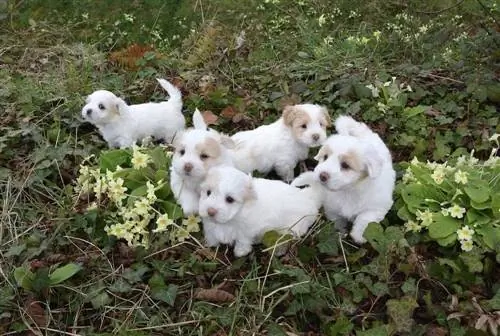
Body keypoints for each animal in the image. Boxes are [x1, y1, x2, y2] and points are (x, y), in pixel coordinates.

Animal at [292, 115, 394, 244]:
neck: (348, 191)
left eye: (345, 165)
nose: (322, 175)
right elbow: (337, 220)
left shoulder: (376, 207)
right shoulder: (332, 208)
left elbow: (365, 220)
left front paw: (358, 236)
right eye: (325, 157)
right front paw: (340, 232)